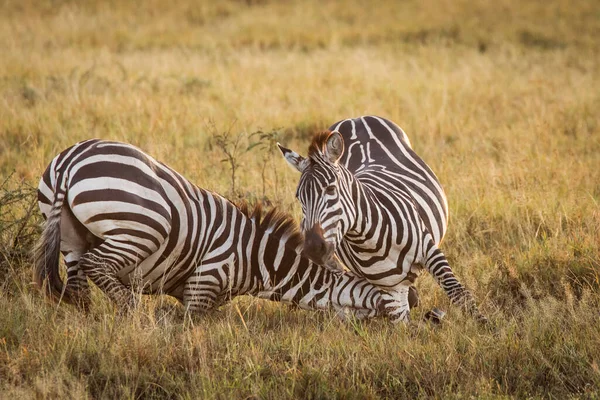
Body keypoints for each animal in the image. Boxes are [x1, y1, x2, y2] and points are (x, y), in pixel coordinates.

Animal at [34, 139, 390, 320]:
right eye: (378, 308)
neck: (259, 258)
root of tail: (70, 160)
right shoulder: (203, 283)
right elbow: (191, 329)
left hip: (69, 235)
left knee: (79, 287)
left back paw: (92, 325)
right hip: (141, 228)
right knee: (97, 265)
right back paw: (133, 315)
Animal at [276, 116, 488, 324]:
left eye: (331, 189)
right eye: (299, 198)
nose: (313, 248)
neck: (368, 239)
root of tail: (356, 118)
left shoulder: (430, 251)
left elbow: (458, 293)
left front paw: (484, 326)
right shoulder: (387, 287)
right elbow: (402, 323)